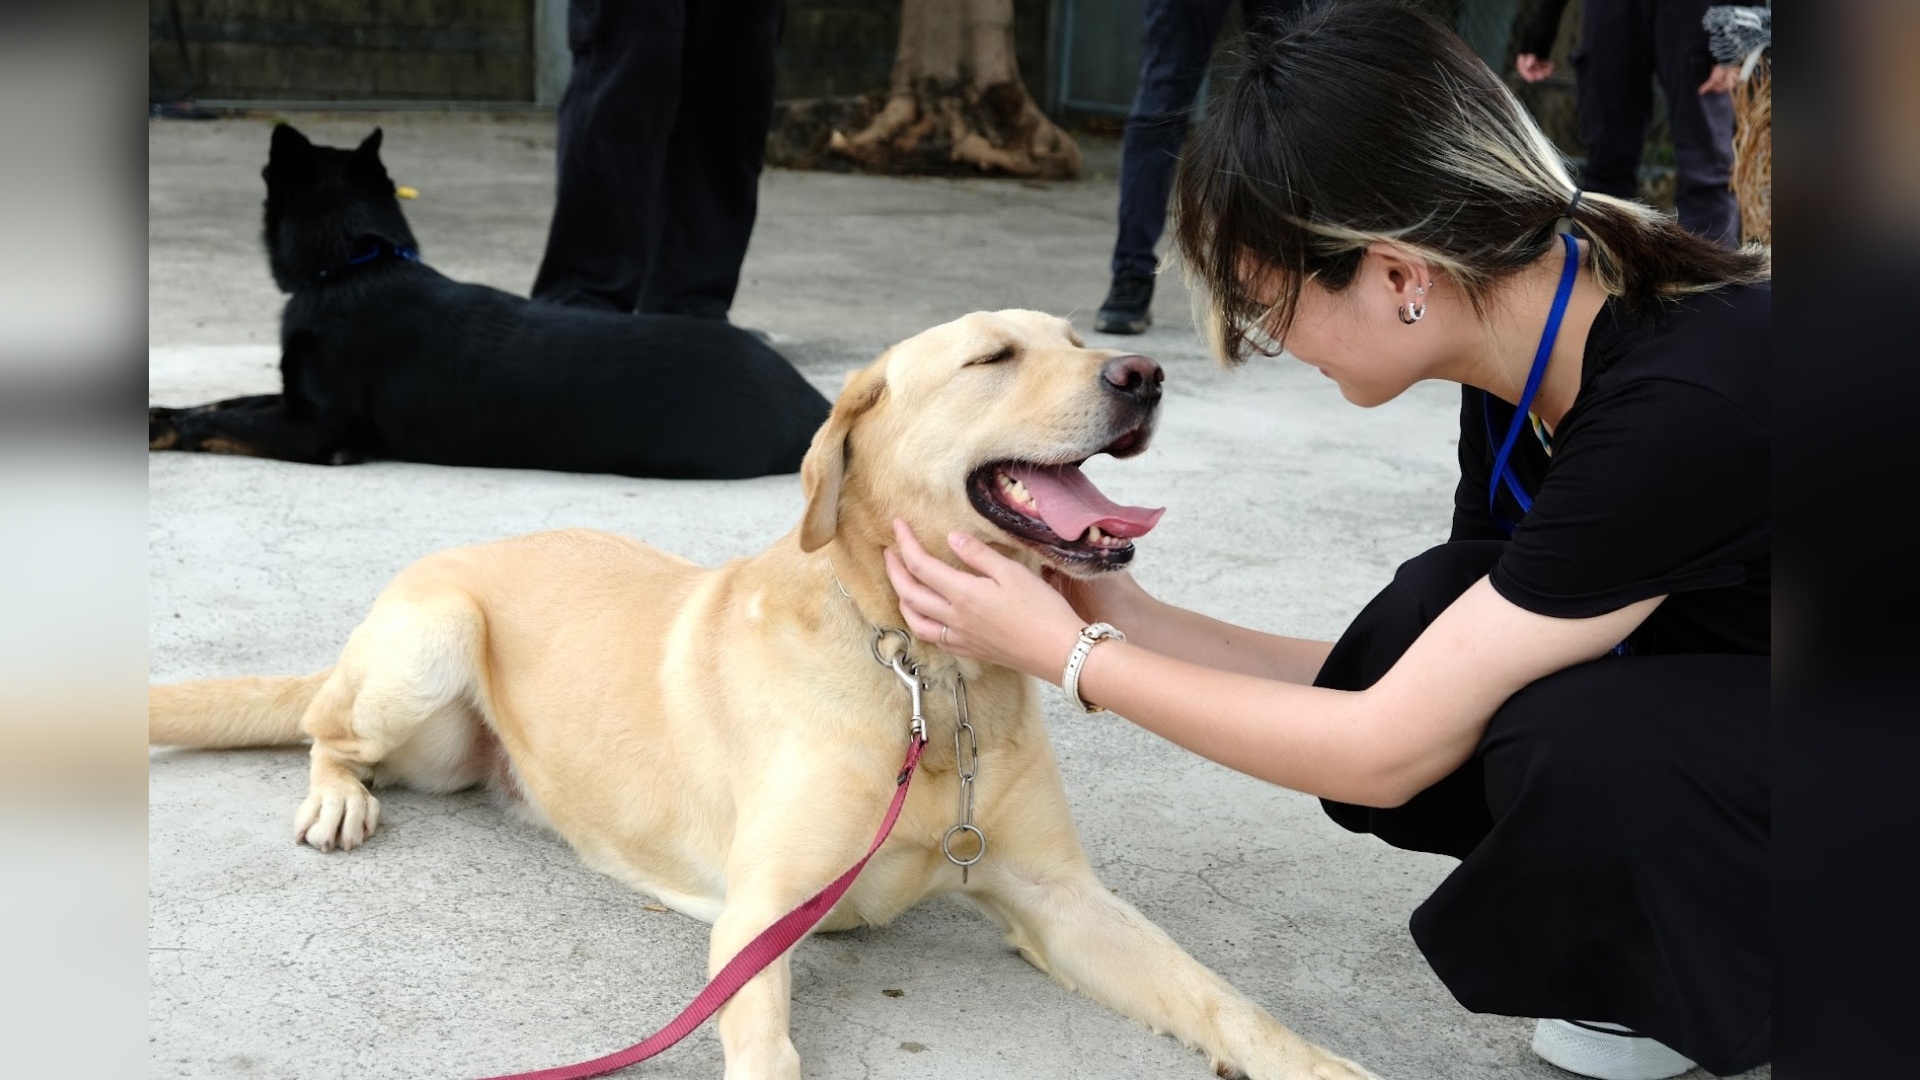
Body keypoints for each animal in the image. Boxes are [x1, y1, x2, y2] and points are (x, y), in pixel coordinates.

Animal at [151, 123, 833, 476]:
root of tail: (816, 405)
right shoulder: (292, 401)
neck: (356, 262)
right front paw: (163, 411)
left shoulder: (316, 430)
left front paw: (171, 429)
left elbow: (226, 419)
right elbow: (230, 400)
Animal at [157, 309, 1374, 1076]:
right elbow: (768, 1045)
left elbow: (1225, 999)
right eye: (992, 357)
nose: (1144, 374)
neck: (928, 679)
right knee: (326, 728)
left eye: (1080, 342)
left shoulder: (1063, 900)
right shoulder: (761, 912)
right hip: (432, 638)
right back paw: (337, 796)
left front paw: (1321, 1063)